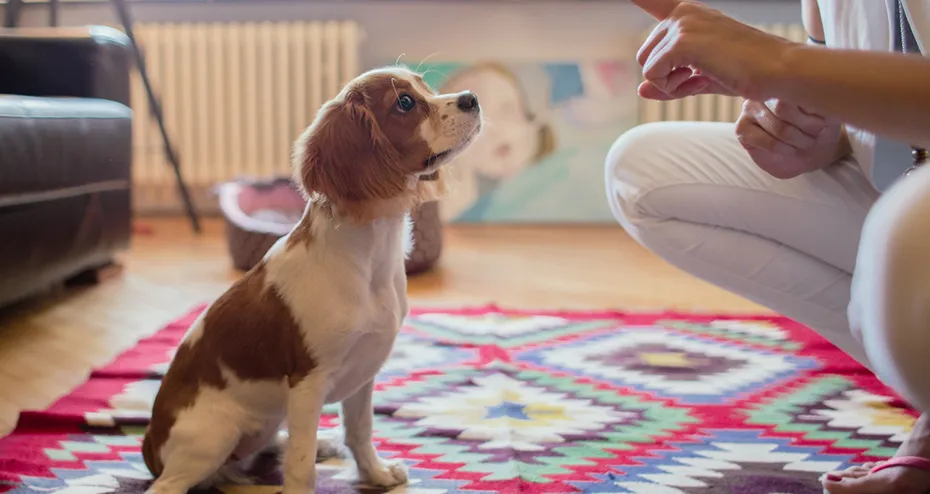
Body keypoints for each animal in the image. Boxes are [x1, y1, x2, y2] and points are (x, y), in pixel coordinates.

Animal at [141, 66, 482, 494]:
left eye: (425, 86)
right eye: (404, 103)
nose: (471, 97)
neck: (369, 258)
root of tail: (149, 443)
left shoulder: (364, 372)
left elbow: (359, 431)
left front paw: (376, 476)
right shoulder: (308, 382)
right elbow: (301, 467)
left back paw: (320, 444)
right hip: (214, 434)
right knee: (169, 485)